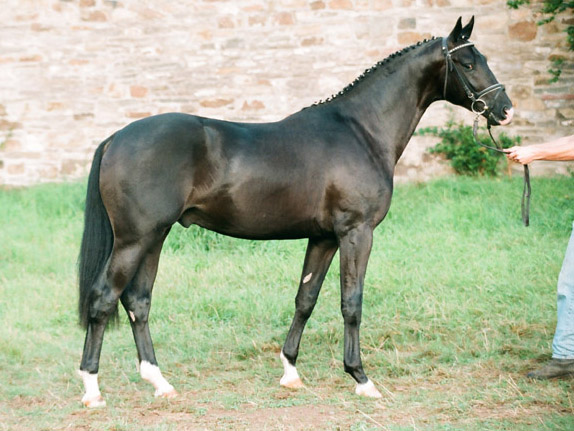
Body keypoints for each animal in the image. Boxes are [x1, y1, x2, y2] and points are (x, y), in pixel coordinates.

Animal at [79, 17, 516, 408]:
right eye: (467, 63)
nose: (505, 109)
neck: (361, 130)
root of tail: (116, 138)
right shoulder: (357, 232)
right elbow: (351, 302)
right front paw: (361, 378)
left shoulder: (323, 237)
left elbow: (306, 298)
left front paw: (290, 371)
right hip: (136, 239)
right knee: (103, 298)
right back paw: (92, 389)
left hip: (155, 238)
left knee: (137, 302)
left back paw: (160, 382)